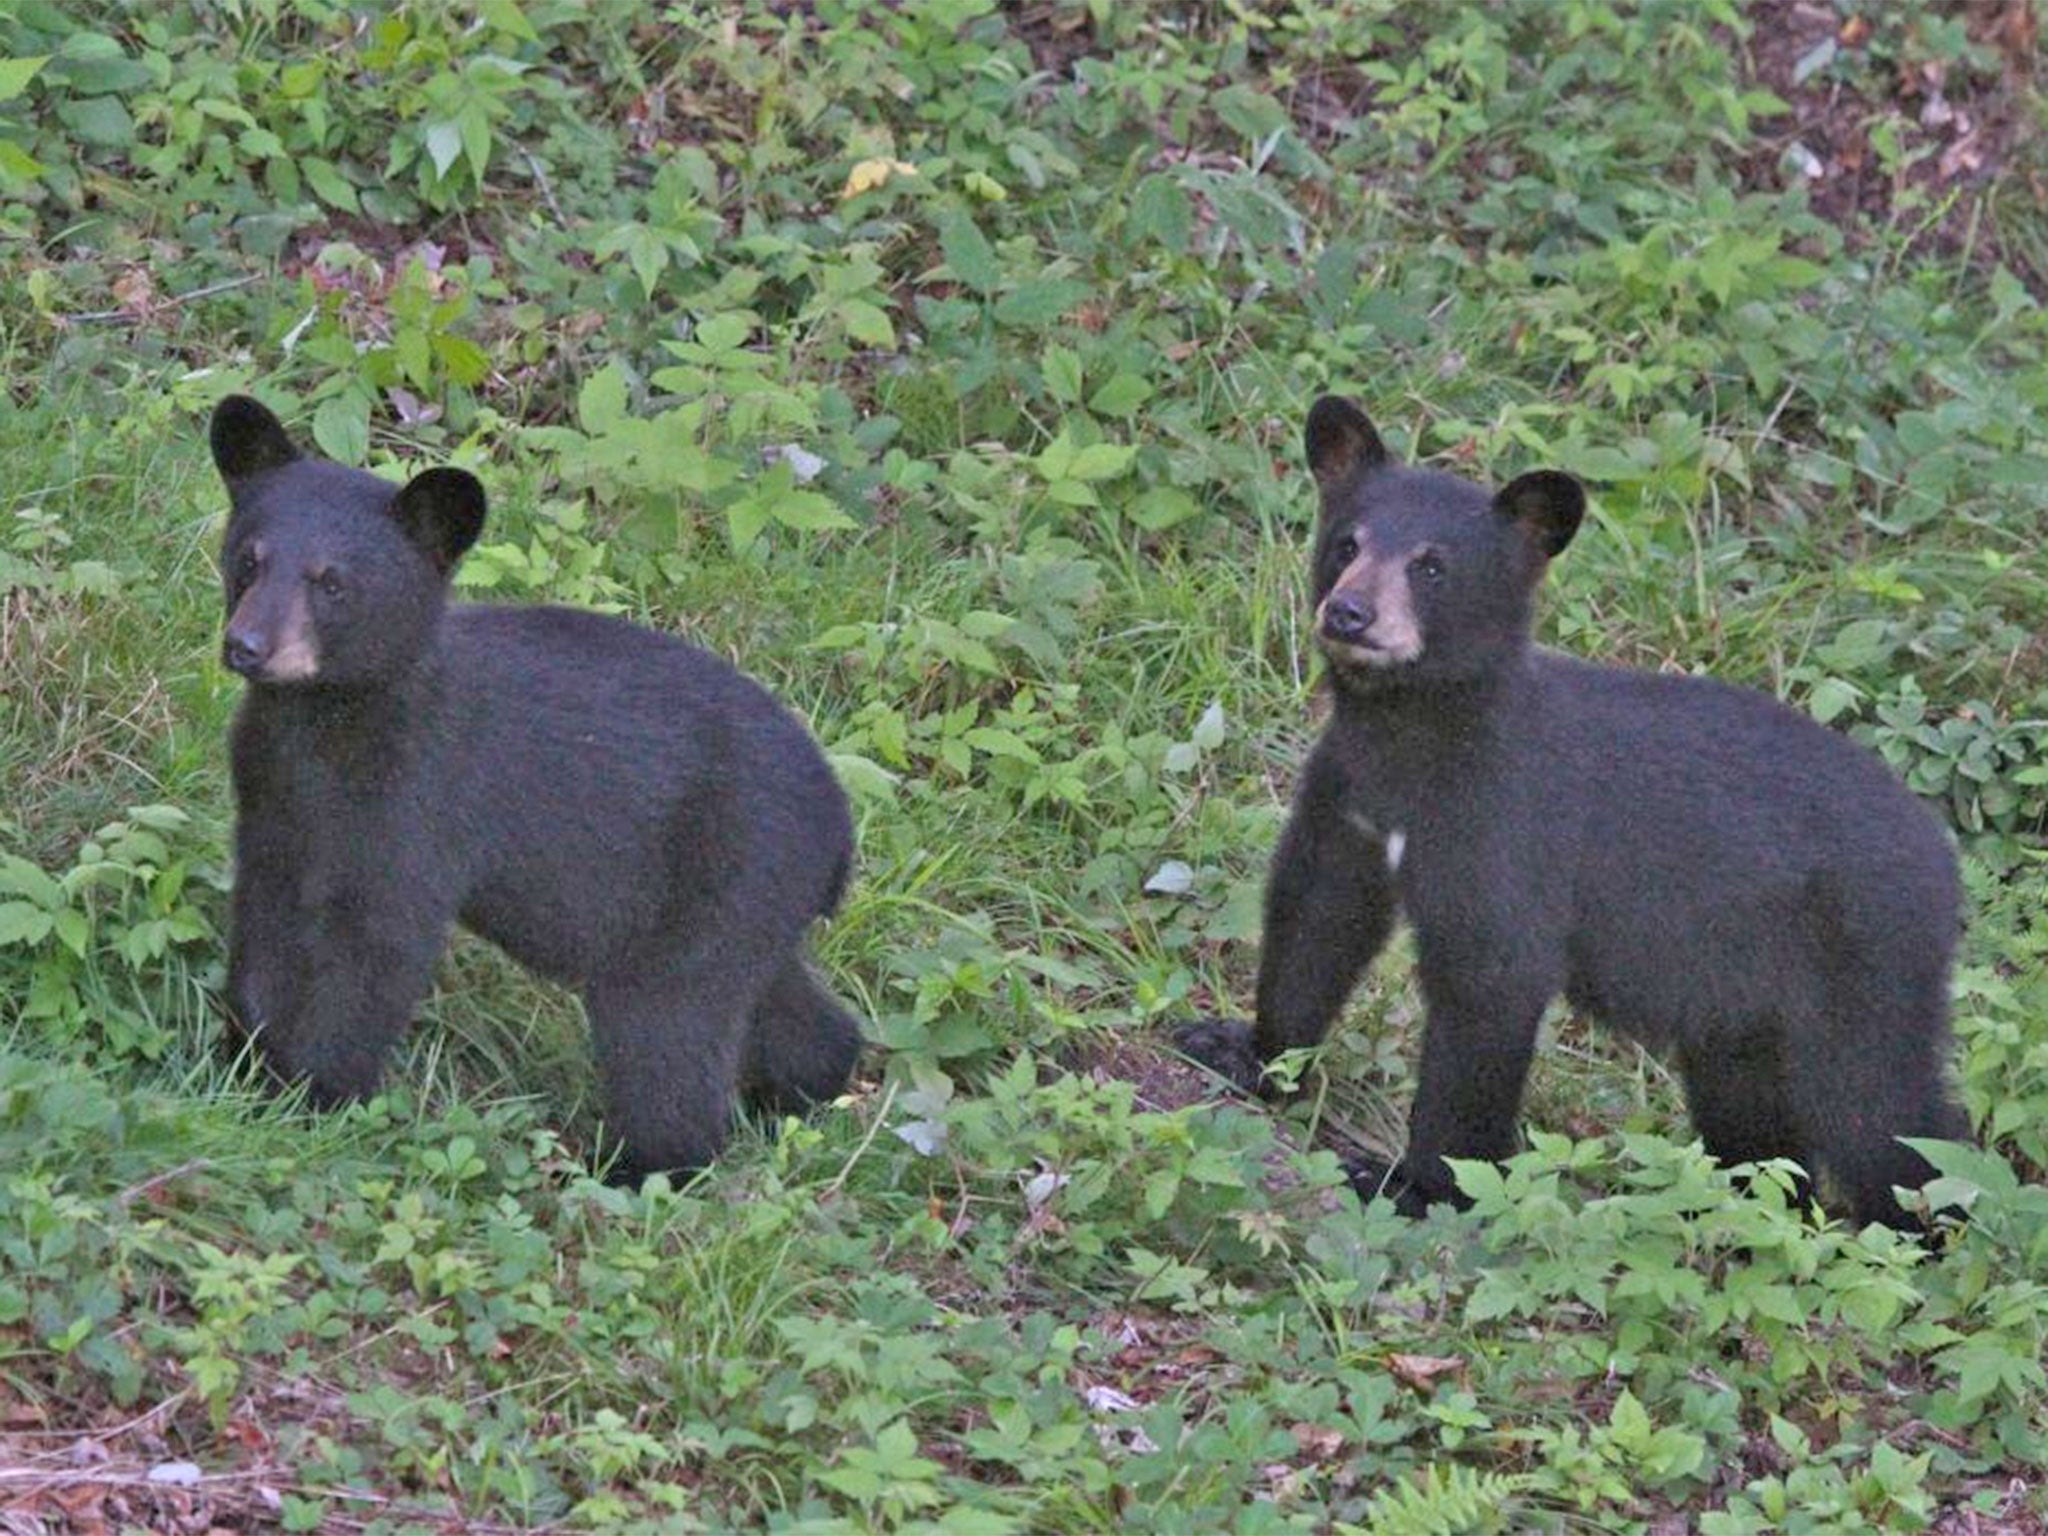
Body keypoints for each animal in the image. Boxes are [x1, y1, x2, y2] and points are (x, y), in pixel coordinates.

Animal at [214, 397, 864, 1179]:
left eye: (332, 582)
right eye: (248, 560)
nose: (247, 645)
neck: (325, 724)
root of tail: (839, 832)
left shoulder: (419, 802)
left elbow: (375, 950)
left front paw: (313, 1096)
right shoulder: (272, 800)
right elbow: (265, 925)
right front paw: (243, 1063)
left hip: (717, 882)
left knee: (666, 1031)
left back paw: (643, 1168)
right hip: (747, 910)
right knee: (777, 1005)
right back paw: (806, 1092)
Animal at [1187, 399, 1966, 1236]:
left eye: (1432, 566)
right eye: (1347, 543)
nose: (1351, 612)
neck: (1412, 735)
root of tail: (1944, 857)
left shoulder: (1505, 824)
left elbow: (1490, 982)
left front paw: (1416, 1183)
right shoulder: (1350, 797)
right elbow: (1316, 917)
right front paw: (1244, 1049)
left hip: (1863, 958)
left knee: (1884, 1113)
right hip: (1744, 998)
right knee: (1754, 1113)